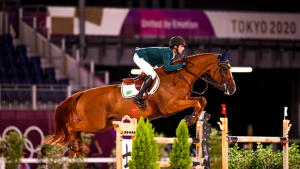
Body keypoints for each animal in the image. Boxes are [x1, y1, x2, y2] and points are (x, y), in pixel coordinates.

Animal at [45, 50, 237, 157]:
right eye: (224, 68)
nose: (232, 89)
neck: (180, 75)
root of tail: (82, 93)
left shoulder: (181, 102)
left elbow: (202, 100)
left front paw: (193, 118)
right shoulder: (172, 106)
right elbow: (198, 103)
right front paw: (190, 120)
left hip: (102, 124)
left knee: (76, 129)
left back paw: (75, 148)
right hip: (95, 123)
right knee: (71, 126)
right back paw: (74, 148)